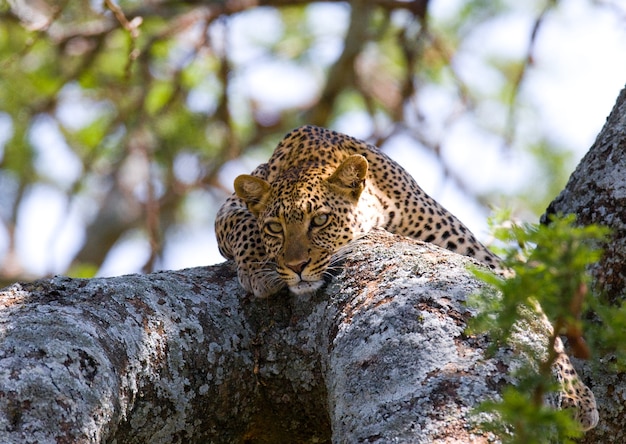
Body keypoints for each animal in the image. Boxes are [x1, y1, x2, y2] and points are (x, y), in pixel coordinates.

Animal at [213, 125, 596, 430]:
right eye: (274, 228)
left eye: (320, 220)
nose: (296, 266)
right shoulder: (229, 207)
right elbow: (239, 224)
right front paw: (258, 267)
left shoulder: (485, 260)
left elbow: (538, 318)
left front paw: (575, 397)